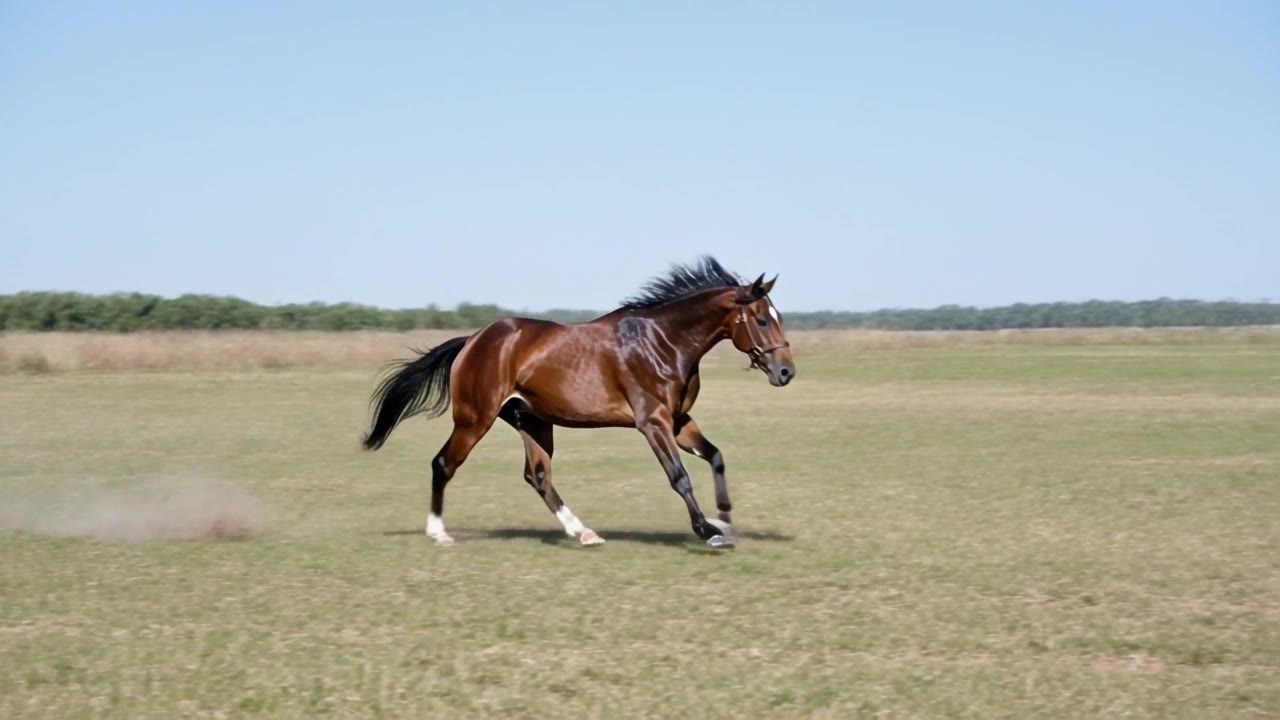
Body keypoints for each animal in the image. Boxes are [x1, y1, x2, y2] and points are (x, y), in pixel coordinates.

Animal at [361, 256, 796, 549]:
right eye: (761, 320)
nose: (786, 372)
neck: (663, 342)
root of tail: (472, 341)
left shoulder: (678, 419)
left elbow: (716, 456)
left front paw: (725, 522)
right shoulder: (652, 421)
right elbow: (679, 476)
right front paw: (708, 531)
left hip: (532, 421)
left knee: (537, 476)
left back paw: (583, 532)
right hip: (474, 419)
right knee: (444, 463)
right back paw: (439, 533)